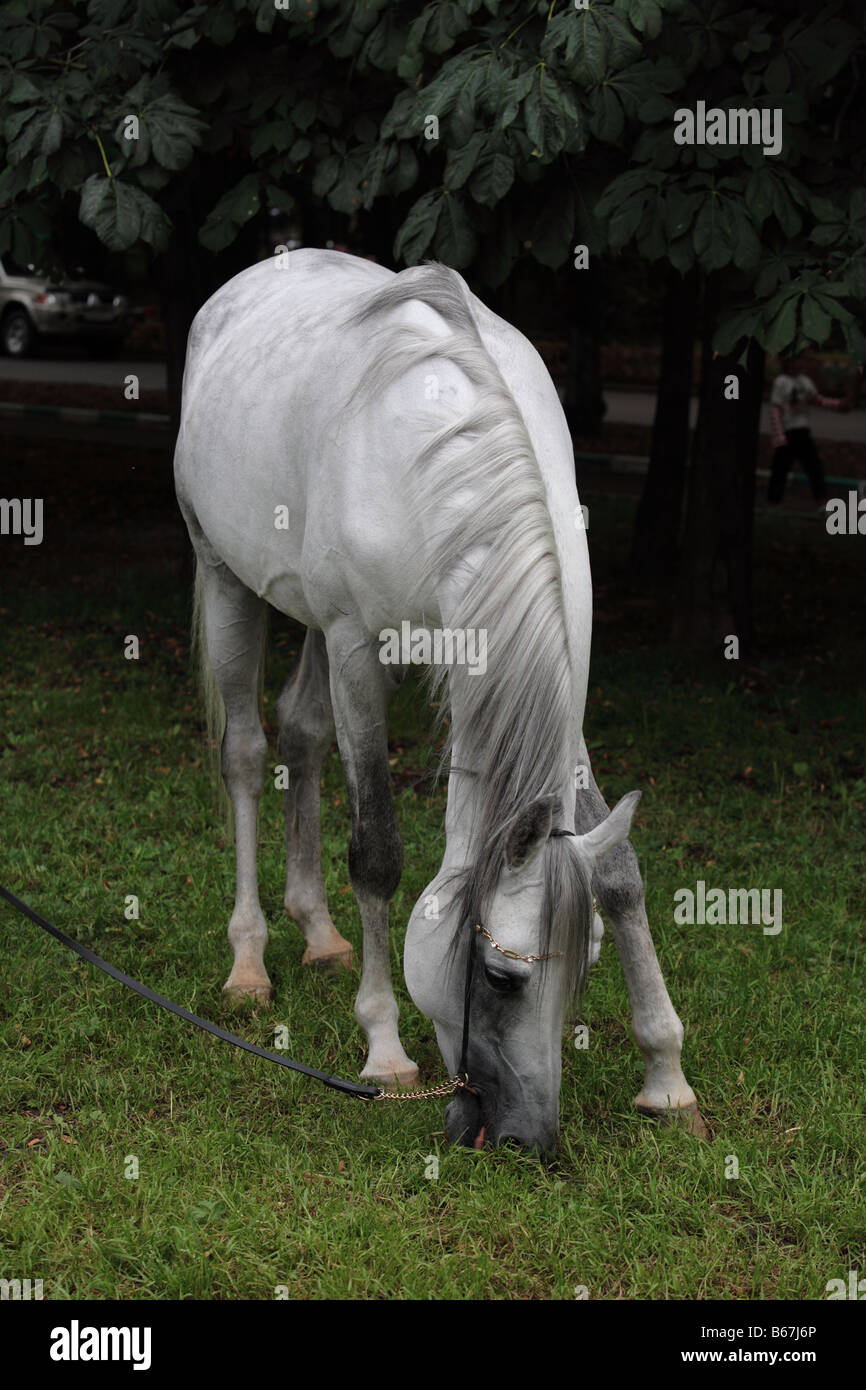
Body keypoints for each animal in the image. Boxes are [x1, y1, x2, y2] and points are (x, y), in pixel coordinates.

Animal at [174, 248, 705, 1151]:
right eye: (499, 977)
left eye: (586, 968)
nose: (528, 1141)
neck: (442, 465)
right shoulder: (358, 646)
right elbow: (378, 852)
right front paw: (384, 1048)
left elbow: (619, 868)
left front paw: (666, 1076)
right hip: (224, 577)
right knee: (245, 754)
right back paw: (249, 962)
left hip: (307, 617)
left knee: (302, 733)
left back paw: (319, 932)